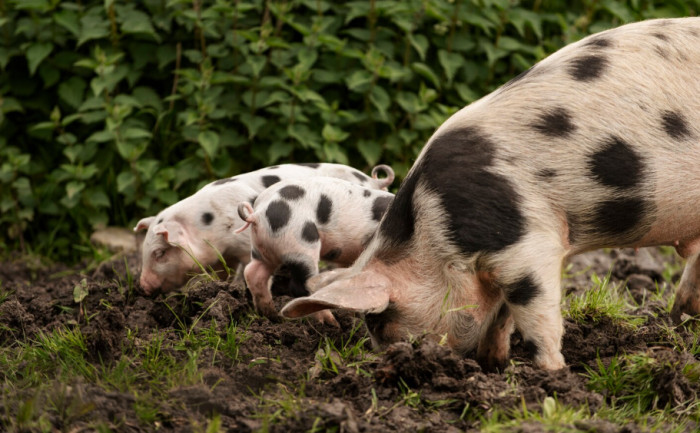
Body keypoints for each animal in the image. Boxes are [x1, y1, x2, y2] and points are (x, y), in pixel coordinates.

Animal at [134, 163, 394, 295]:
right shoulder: (224, 256)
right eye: (144, 251)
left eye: (159, 253)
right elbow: (224, 273)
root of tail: (374, 181)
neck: (209, 225)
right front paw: (219, 288)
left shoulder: (243, 246)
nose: (142, 286)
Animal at [235, 177, 395, 320]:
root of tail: (258, 213)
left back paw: (272, 316)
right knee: (300, 288)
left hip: (263, 247)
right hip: (301, 243)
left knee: (253, 273)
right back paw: (330, 322)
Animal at [281, 18, 700, 370]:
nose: (391, 357)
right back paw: (680, 319)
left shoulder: (529, 244)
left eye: (379, 321)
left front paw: (554, 375)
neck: (435, 228)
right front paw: (493, 363)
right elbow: (501, 313)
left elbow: (535, 313)